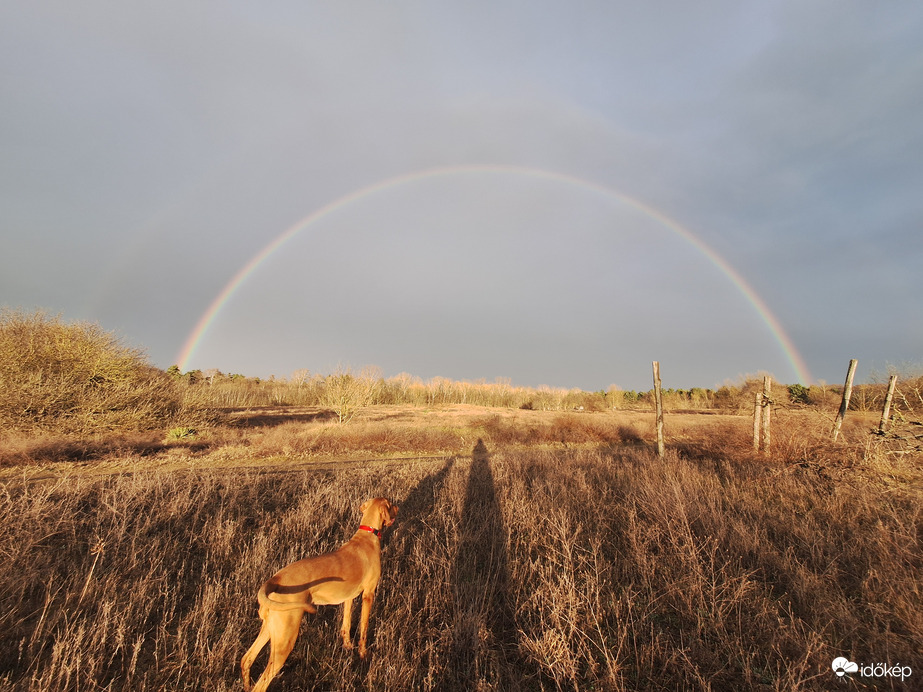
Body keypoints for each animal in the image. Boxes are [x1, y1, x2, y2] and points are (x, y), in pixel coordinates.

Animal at [242, 498, 398, 692]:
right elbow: (363, 628)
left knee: (246, 659)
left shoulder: (349, 597)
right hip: (285, 639)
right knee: (261, 683)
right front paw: (363, 654)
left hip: (271, 628)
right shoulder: (368, 594)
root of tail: (274, 579)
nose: (398, 507)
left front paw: (347, 646)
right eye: (390, 504)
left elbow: (346, 624)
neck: (367, 534)